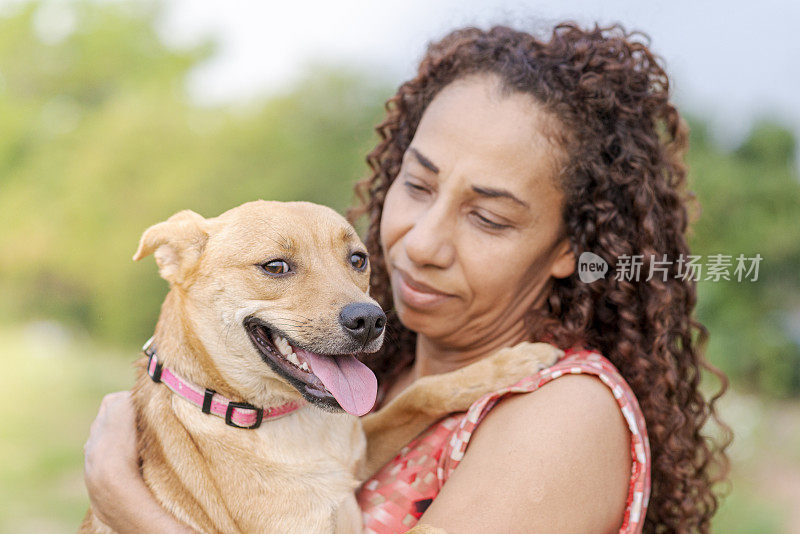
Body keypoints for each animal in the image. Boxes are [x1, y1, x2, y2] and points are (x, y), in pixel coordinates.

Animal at [78, 202, 560, 534]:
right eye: (275, 266)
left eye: (358, 259)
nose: (370, 320)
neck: (282, 421)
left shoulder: (360, 452)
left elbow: (417, 395)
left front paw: (511, 362)